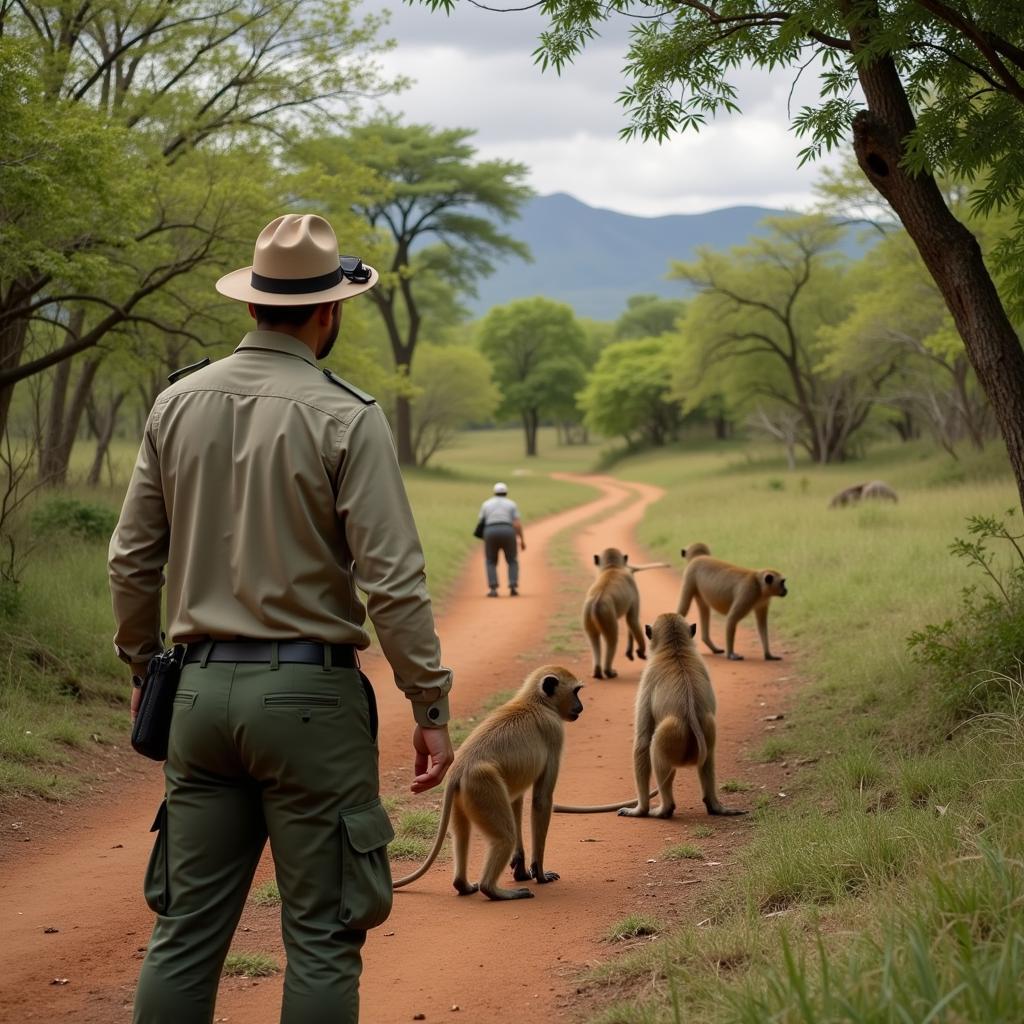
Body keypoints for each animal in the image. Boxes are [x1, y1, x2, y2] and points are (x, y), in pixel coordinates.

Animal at [391, 667, 585, 901]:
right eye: (575, 692)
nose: (580, 707)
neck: (536, 702)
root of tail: (459, 769)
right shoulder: (554, 731)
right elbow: (541, 800)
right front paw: (539, 873)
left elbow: (516, 798)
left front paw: (521, 869)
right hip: (482, 784)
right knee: (504, 837)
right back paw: (493, 890)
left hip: (466, 795)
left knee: (463, 833)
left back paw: (463, 885)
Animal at [585, 544, 647, 679]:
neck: (612, 567)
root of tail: (596, 602)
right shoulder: (632, 582)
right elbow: (632, 620)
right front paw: (641, 651)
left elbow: (630, 622)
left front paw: (630, 652)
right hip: (606, 614)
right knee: (612, 640)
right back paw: (608, 671)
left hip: (586, 612)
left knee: (593, 638)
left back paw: (597, 672)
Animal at [614, 610, 745, 819]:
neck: (675, 649)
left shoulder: (648, 675)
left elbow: (642, 741)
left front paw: (639, 809)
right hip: (704, 734)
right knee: (709, 750)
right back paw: (714, 805)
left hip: (670, 736)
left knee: (655, 747)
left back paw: (664, 809)